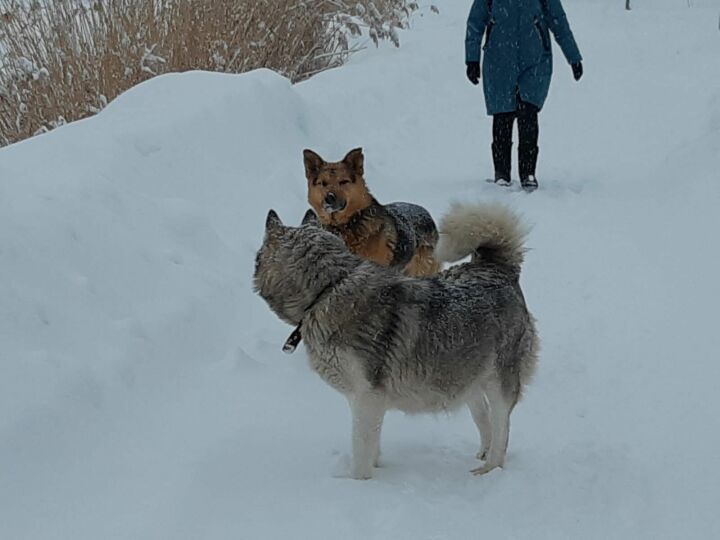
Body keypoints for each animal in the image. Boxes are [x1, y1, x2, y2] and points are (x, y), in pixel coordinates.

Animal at [255, 202, 540, 476]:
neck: (329, 289)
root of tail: (497, 268)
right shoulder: (368, 401)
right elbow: (372, 445)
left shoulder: (367, 397)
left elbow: (361, 450)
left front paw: (358, 483)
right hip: (465, 376)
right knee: (485, 419)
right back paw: (483, 453)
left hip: (499, 382)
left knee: (502, 429)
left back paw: (489, 469)